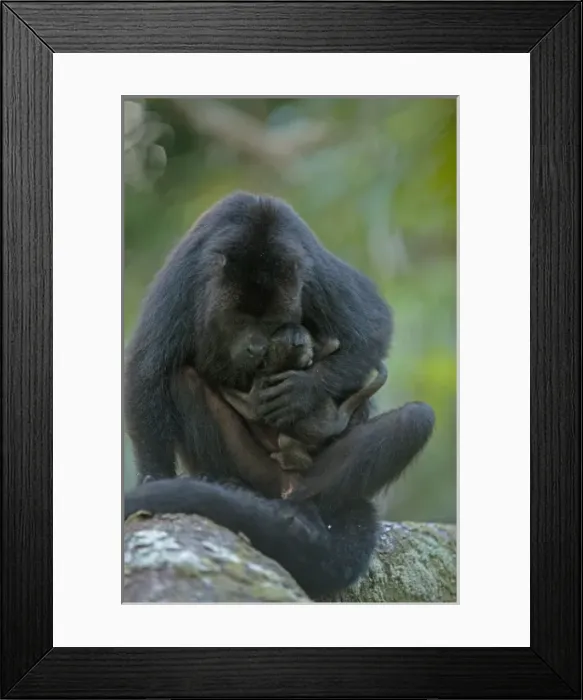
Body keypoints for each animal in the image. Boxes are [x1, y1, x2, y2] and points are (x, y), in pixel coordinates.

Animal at [124, 191, 435, 598]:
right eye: (239, 319)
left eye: (271, 323)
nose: (256, 347)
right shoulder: (187, 274)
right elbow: (147, 367)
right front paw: (153, 476)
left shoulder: (313, 269)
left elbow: (372, 325)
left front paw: (302, 392)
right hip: (252, 468)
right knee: (183, 379)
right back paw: (225, 482)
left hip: (314, 476)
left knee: (414, 419)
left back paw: (306, 508)